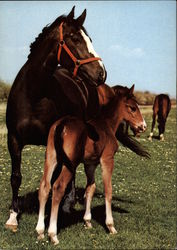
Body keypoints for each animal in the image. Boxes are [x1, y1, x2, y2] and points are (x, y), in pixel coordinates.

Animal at [4, 6, 106, 231]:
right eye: (74, 38)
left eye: (90, 39)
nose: (101, 73)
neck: (33, 93)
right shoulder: (13, 140)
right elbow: (16, 177)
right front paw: (13, 217)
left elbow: (56, 177)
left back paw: (67, 204)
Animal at [35, 85, 147, 245]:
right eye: (132, 108)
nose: (143, 126)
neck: (107, 125)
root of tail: (62, 124)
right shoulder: (107, 160)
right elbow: (108, 190)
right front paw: (111, 226)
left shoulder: (90, 164)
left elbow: (90, 189)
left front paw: (87, 221)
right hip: (70, 164)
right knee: (58, 187)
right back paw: (52, 234)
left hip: (51, 158)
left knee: (45, 187)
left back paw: (40, 232)